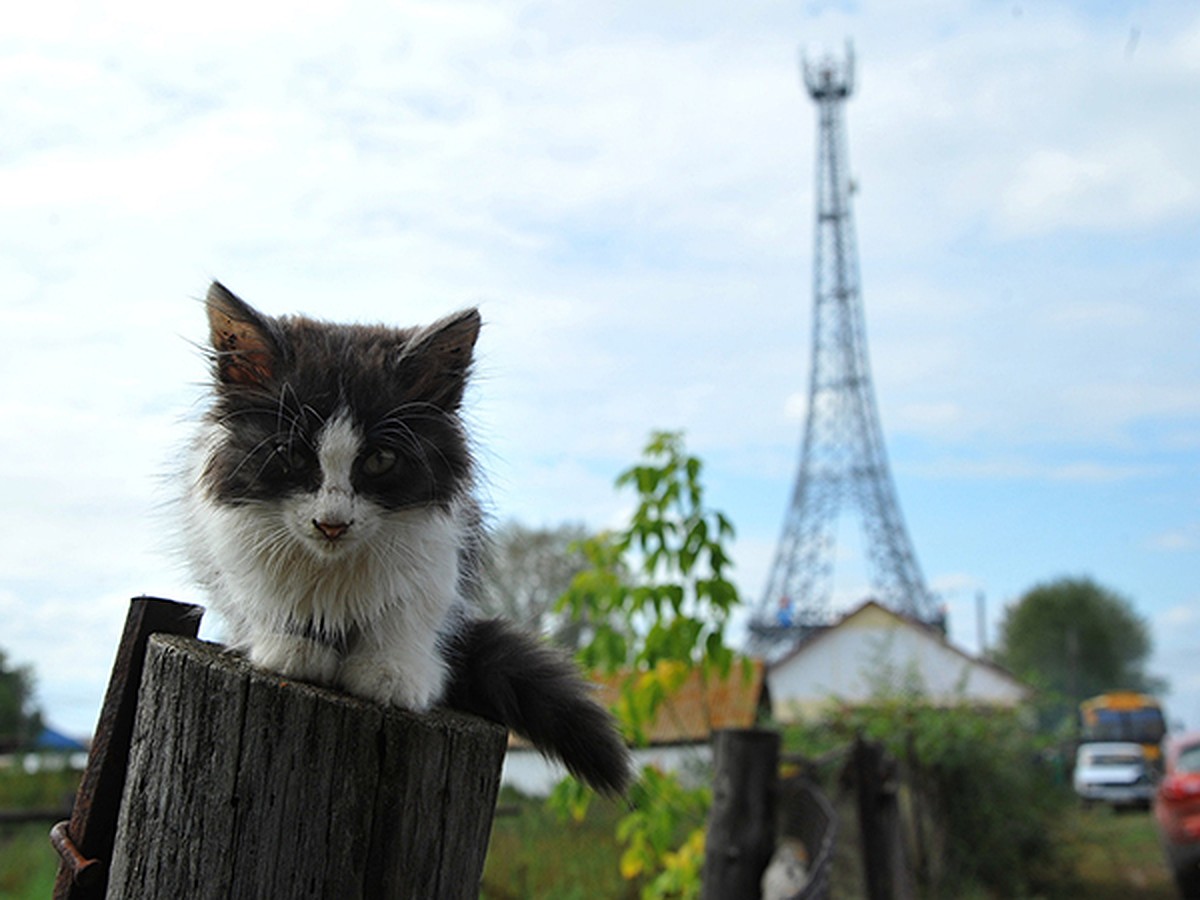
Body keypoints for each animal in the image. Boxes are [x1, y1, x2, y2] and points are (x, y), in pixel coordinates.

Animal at [182, 282, 633, 796]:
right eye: (292, 454)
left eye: (380, 460)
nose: (332, 523)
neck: (335, 565)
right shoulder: (237, 542)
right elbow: (270, 598)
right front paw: (293, 646)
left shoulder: (439, 551)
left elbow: (406, 613)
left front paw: (391, 671)